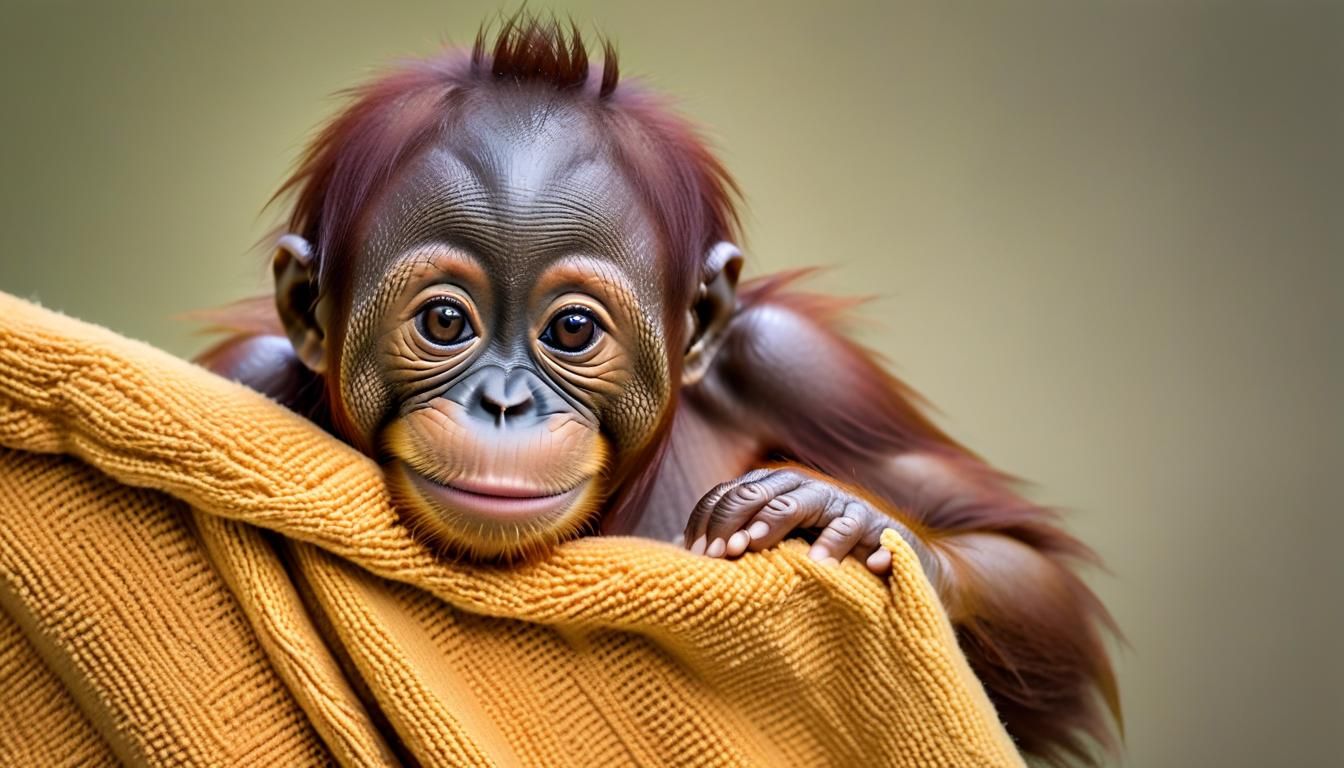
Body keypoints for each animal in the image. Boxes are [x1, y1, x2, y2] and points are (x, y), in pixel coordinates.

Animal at [200, 14, 1118, 766]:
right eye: (445, 321)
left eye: (573, 330)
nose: (504, 402)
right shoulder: (249, 376)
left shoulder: (793, 364)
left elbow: (1024, 565)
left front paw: (843, 513)